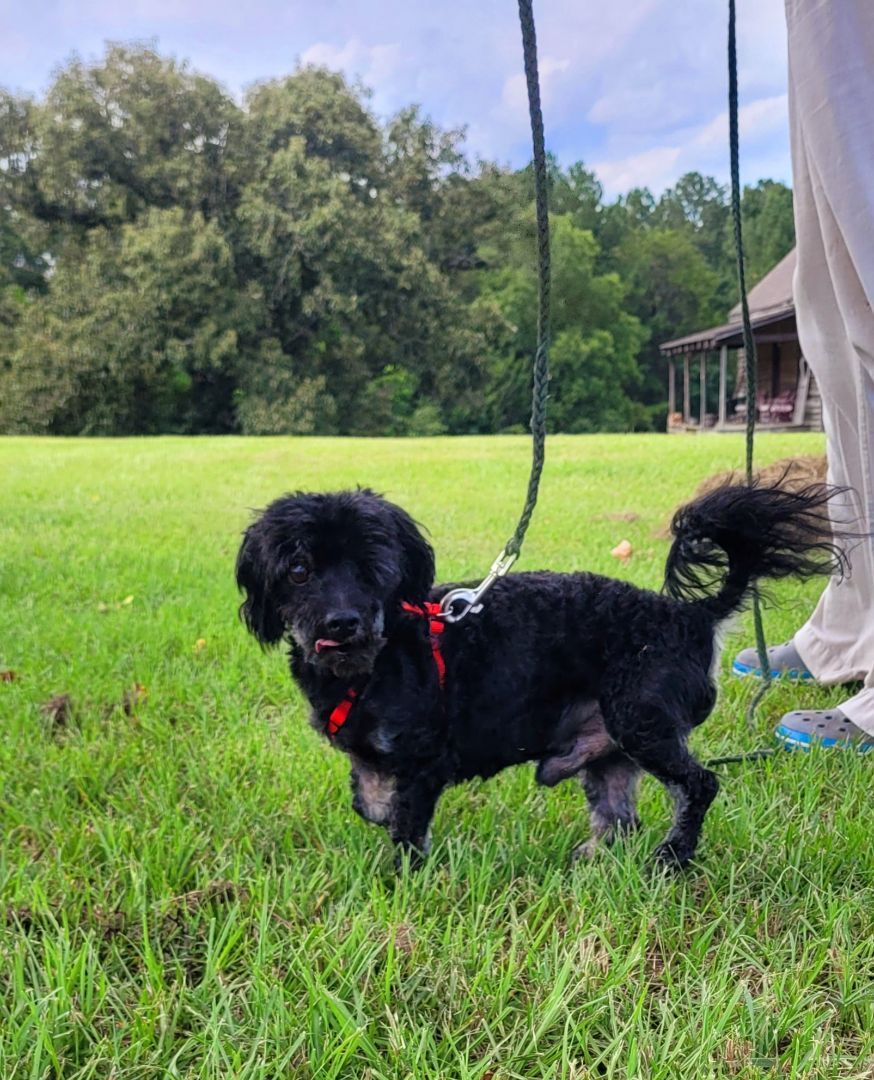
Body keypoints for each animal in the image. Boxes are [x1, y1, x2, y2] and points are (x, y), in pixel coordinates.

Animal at [235, 481, 842, 868]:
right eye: (298, 570)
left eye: (372, 568)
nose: (342, 623)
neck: (371, 664)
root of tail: (690, 617)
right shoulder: (372, 755)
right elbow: (369, 801)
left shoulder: (427, 760)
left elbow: (405, 823)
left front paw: (402, 877)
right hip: (608, 749)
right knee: (619, 816)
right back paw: (595, 861)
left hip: (642, 720)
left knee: (699, 785)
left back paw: (673, 859)